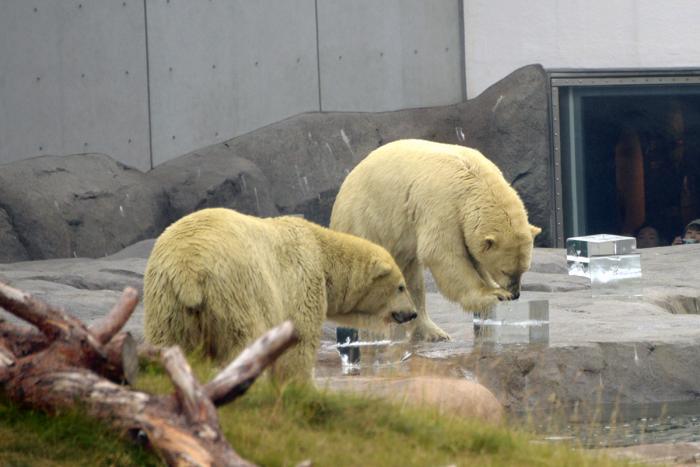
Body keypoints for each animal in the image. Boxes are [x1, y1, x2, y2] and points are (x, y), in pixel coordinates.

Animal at [143, 207, 416, 380]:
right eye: (401, 286)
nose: (412, 313)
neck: (320, 249)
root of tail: (188, 271)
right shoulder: (302, 280)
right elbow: (298, 342)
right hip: (235, 291)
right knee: (243, 340)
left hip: (167, 301)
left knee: (169, 342)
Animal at [330, 140, 540, 344]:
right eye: (505, 271)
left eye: (524, 269)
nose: (515, 294)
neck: (473, 181)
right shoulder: (443, 204)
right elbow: (443, 254)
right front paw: (493, 293)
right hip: (364, 221)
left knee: (411, 280)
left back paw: (433, 332)